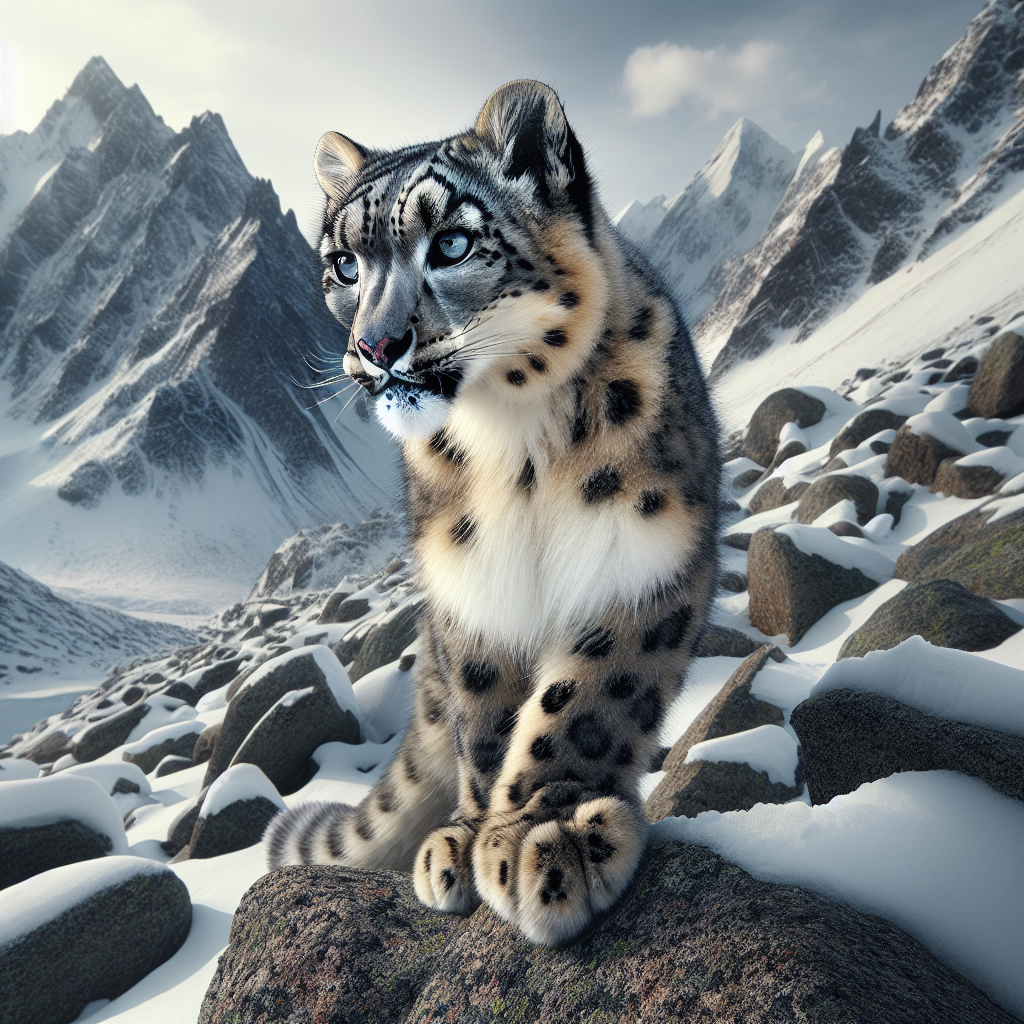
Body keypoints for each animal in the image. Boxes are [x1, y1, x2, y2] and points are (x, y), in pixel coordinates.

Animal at [264, 80, 721, 945]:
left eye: (450, 244)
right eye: (344, 264)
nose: (376, 347)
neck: (517, 450)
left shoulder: (643, 554)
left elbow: (589, 698)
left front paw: (548, 835)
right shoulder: (470, 587)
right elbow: (486, 716)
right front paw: (473, 839)